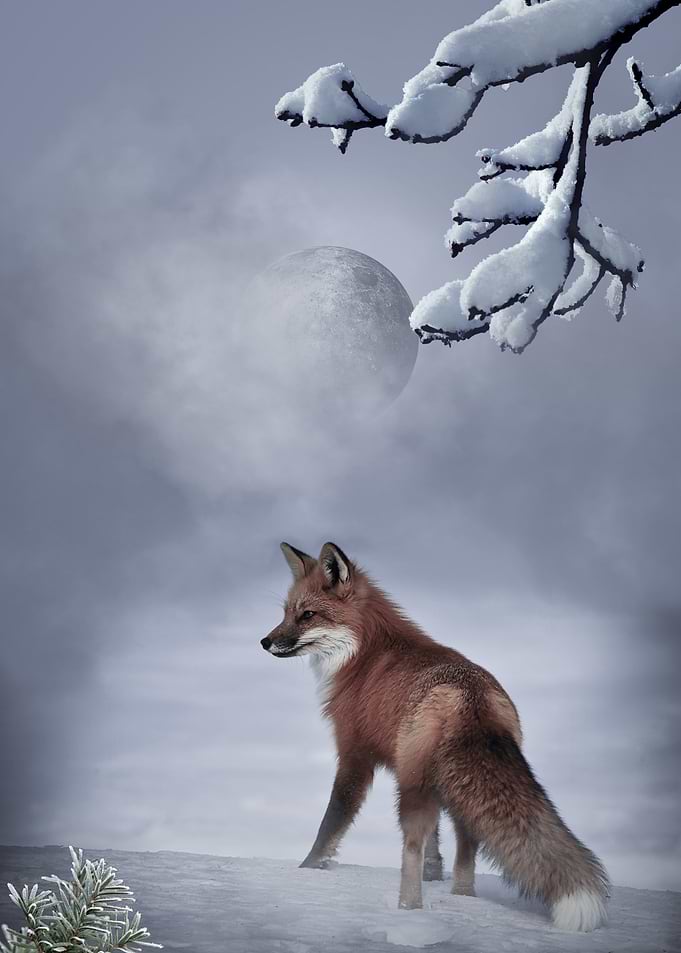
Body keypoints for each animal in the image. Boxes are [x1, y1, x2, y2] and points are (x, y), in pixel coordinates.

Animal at [261, 541, 610, 932]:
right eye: (286, 613)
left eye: (307, 615)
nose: (265, 641)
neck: (362, 655)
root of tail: (471, 696)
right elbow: (436, 847)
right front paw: (435, 876)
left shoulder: (355, 754)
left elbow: (331, 824)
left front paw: (306, 870)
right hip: (449, 787)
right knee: (466, 849)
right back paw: (462, 901)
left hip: (413, 787)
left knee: (412, 846)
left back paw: (408, 911)